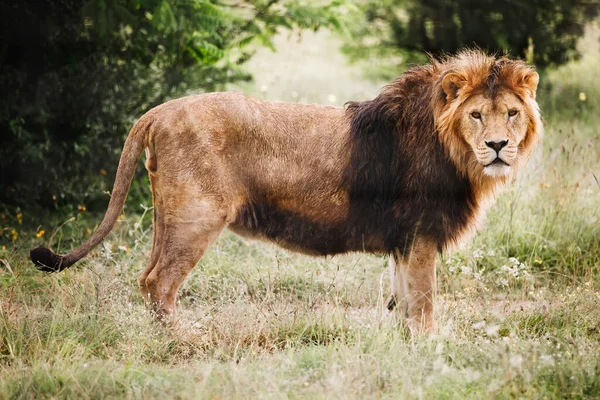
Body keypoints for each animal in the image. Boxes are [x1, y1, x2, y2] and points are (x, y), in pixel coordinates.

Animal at [30, 49, 540, 332]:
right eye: (476, 115)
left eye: (512, 113)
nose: (498, 146)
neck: (455, 152)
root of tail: (157, 111)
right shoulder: (421, 234)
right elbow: (424, 300)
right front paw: (428, 348)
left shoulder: (405, 239)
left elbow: (401, 299)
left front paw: (401, 342)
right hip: (196, 217)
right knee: (159, 283)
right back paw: (182, 341)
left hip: (168, 216)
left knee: (147, 276)